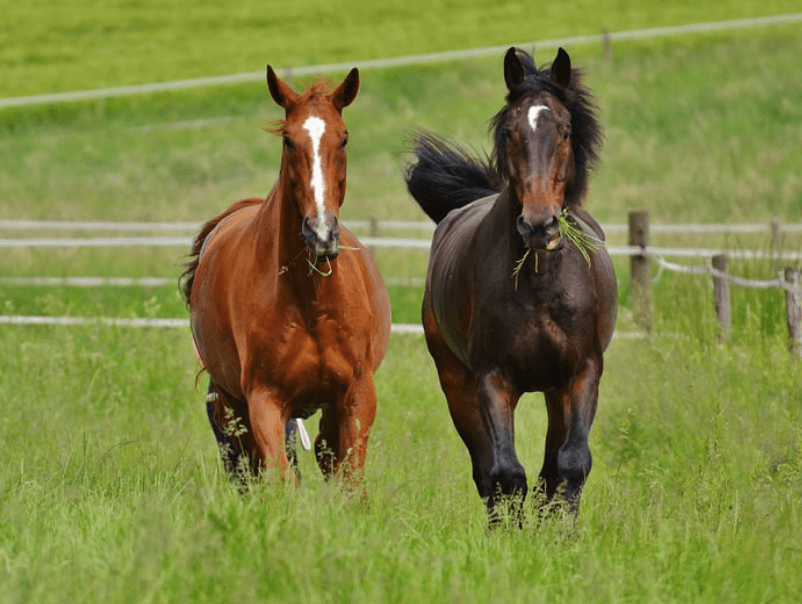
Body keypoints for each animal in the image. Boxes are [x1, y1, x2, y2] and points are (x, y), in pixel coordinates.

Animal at [181, 66, 392, 487]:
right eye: (288, 141)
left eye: (344, 137)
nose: (321, 232)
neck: (309, 299)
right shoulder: (265, 401)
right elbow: (281, 478)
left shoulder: (357, 394)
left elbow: (349, 479)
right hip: (233, 405)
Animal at [404, 47, 617, 520]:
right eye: (508, 131)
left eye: (565, 130)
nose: (538, 225)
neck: (540, 288)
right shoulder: (492, 379)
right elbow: (504, 473)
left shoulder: (582, 372)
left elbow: (571, 464)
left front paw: (562, 532)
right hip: (456, 383)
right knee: (486, 470)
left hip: (555, 390)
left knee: (551, 467)